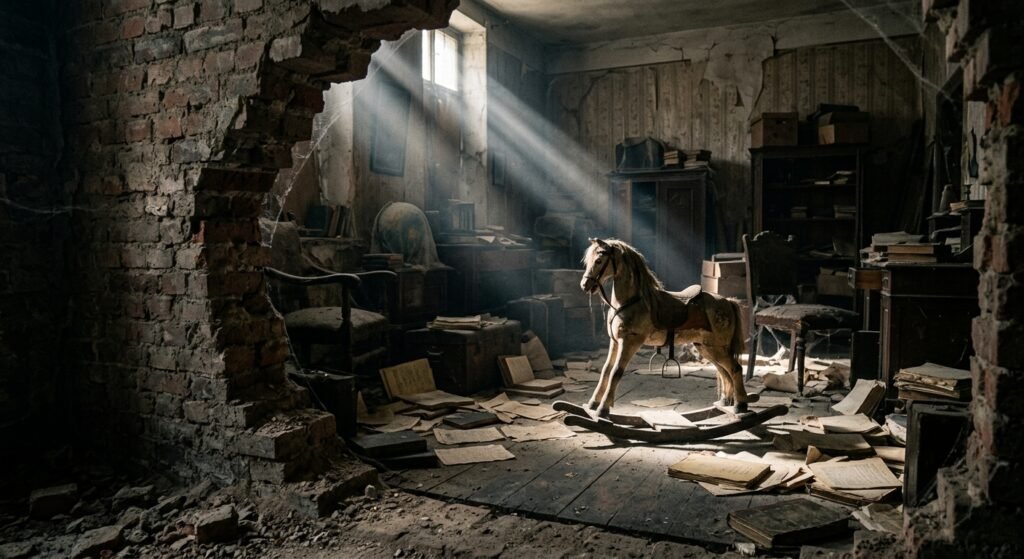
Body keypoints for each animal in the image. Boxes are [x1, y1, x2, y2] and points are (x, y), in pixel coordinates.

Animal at [579, 238, 758, 417]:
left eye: (599, 260)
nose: (584, 285)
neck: (630, 301)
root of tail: (728, 301)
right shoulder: (615, 342)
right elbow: (606, 370)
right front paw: (593, 403)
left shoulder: (630, 341)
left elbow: (616, 372)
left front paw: (602, 409)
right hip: (707, 347)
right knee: (723, 371)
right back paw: (725, 402)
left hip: (717, 347)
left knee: (734, 369)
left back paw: (740, 405)